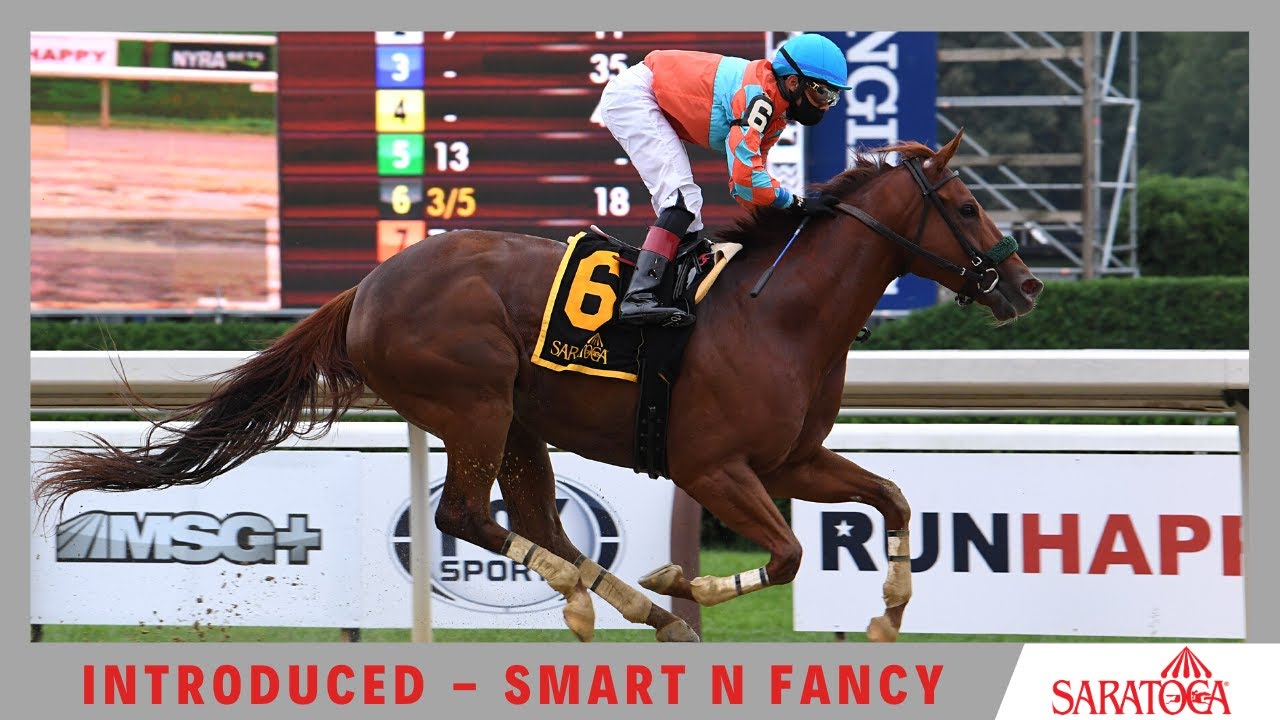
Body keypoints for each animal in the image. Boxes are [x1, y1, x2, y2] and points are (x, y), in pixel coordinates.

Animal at [33, 129, 1043, 643]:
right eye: (965, 205)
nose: (1026, 285)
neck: (775, 313)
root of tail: (371, 283)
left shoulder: (791, 460)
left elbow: (894, 496)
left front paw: (890, 613)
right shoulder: (713, 467)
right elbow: (791, 555)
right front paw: (687, 577)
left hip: (518, 419)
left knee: (533, 519)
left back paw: (619, 605)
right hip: (472, 402)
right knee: (467, 516)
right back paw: (621, 601)